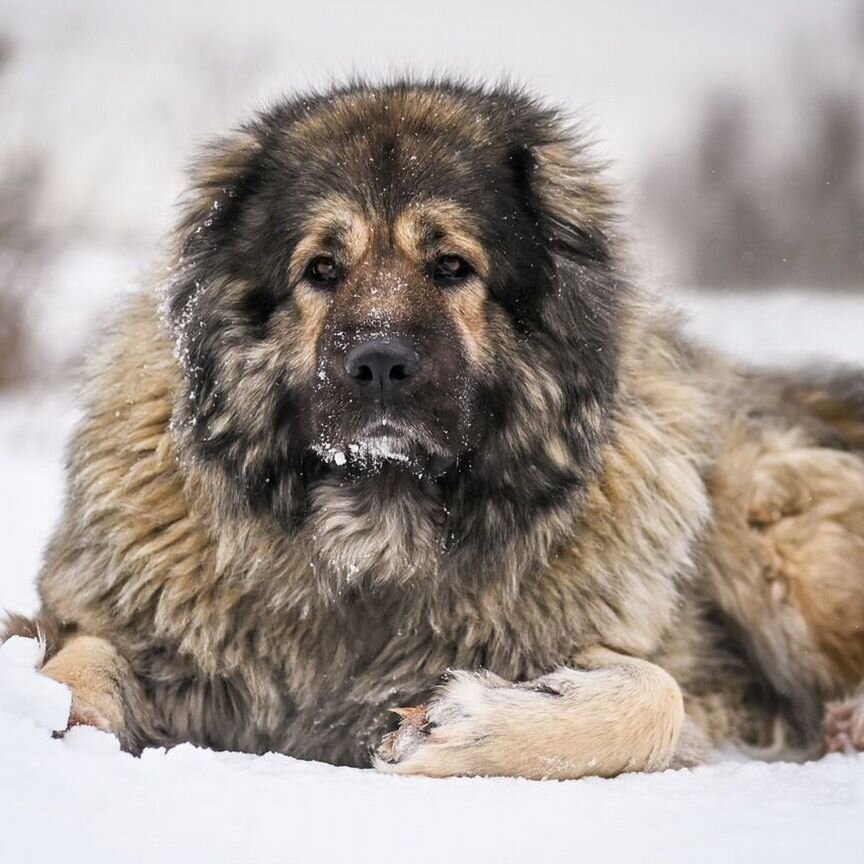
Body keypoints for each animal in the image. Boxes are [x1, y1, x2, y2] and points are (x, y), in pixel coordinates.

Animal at [6, 81, 864, 780]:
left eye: (452, 266)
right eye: (322, 269)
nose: (381, 363)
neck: (376, 532)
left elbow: (659, 696)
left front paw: (464, 726)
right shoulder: (122, 622)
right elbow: (80, 659)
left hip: (773, 528)